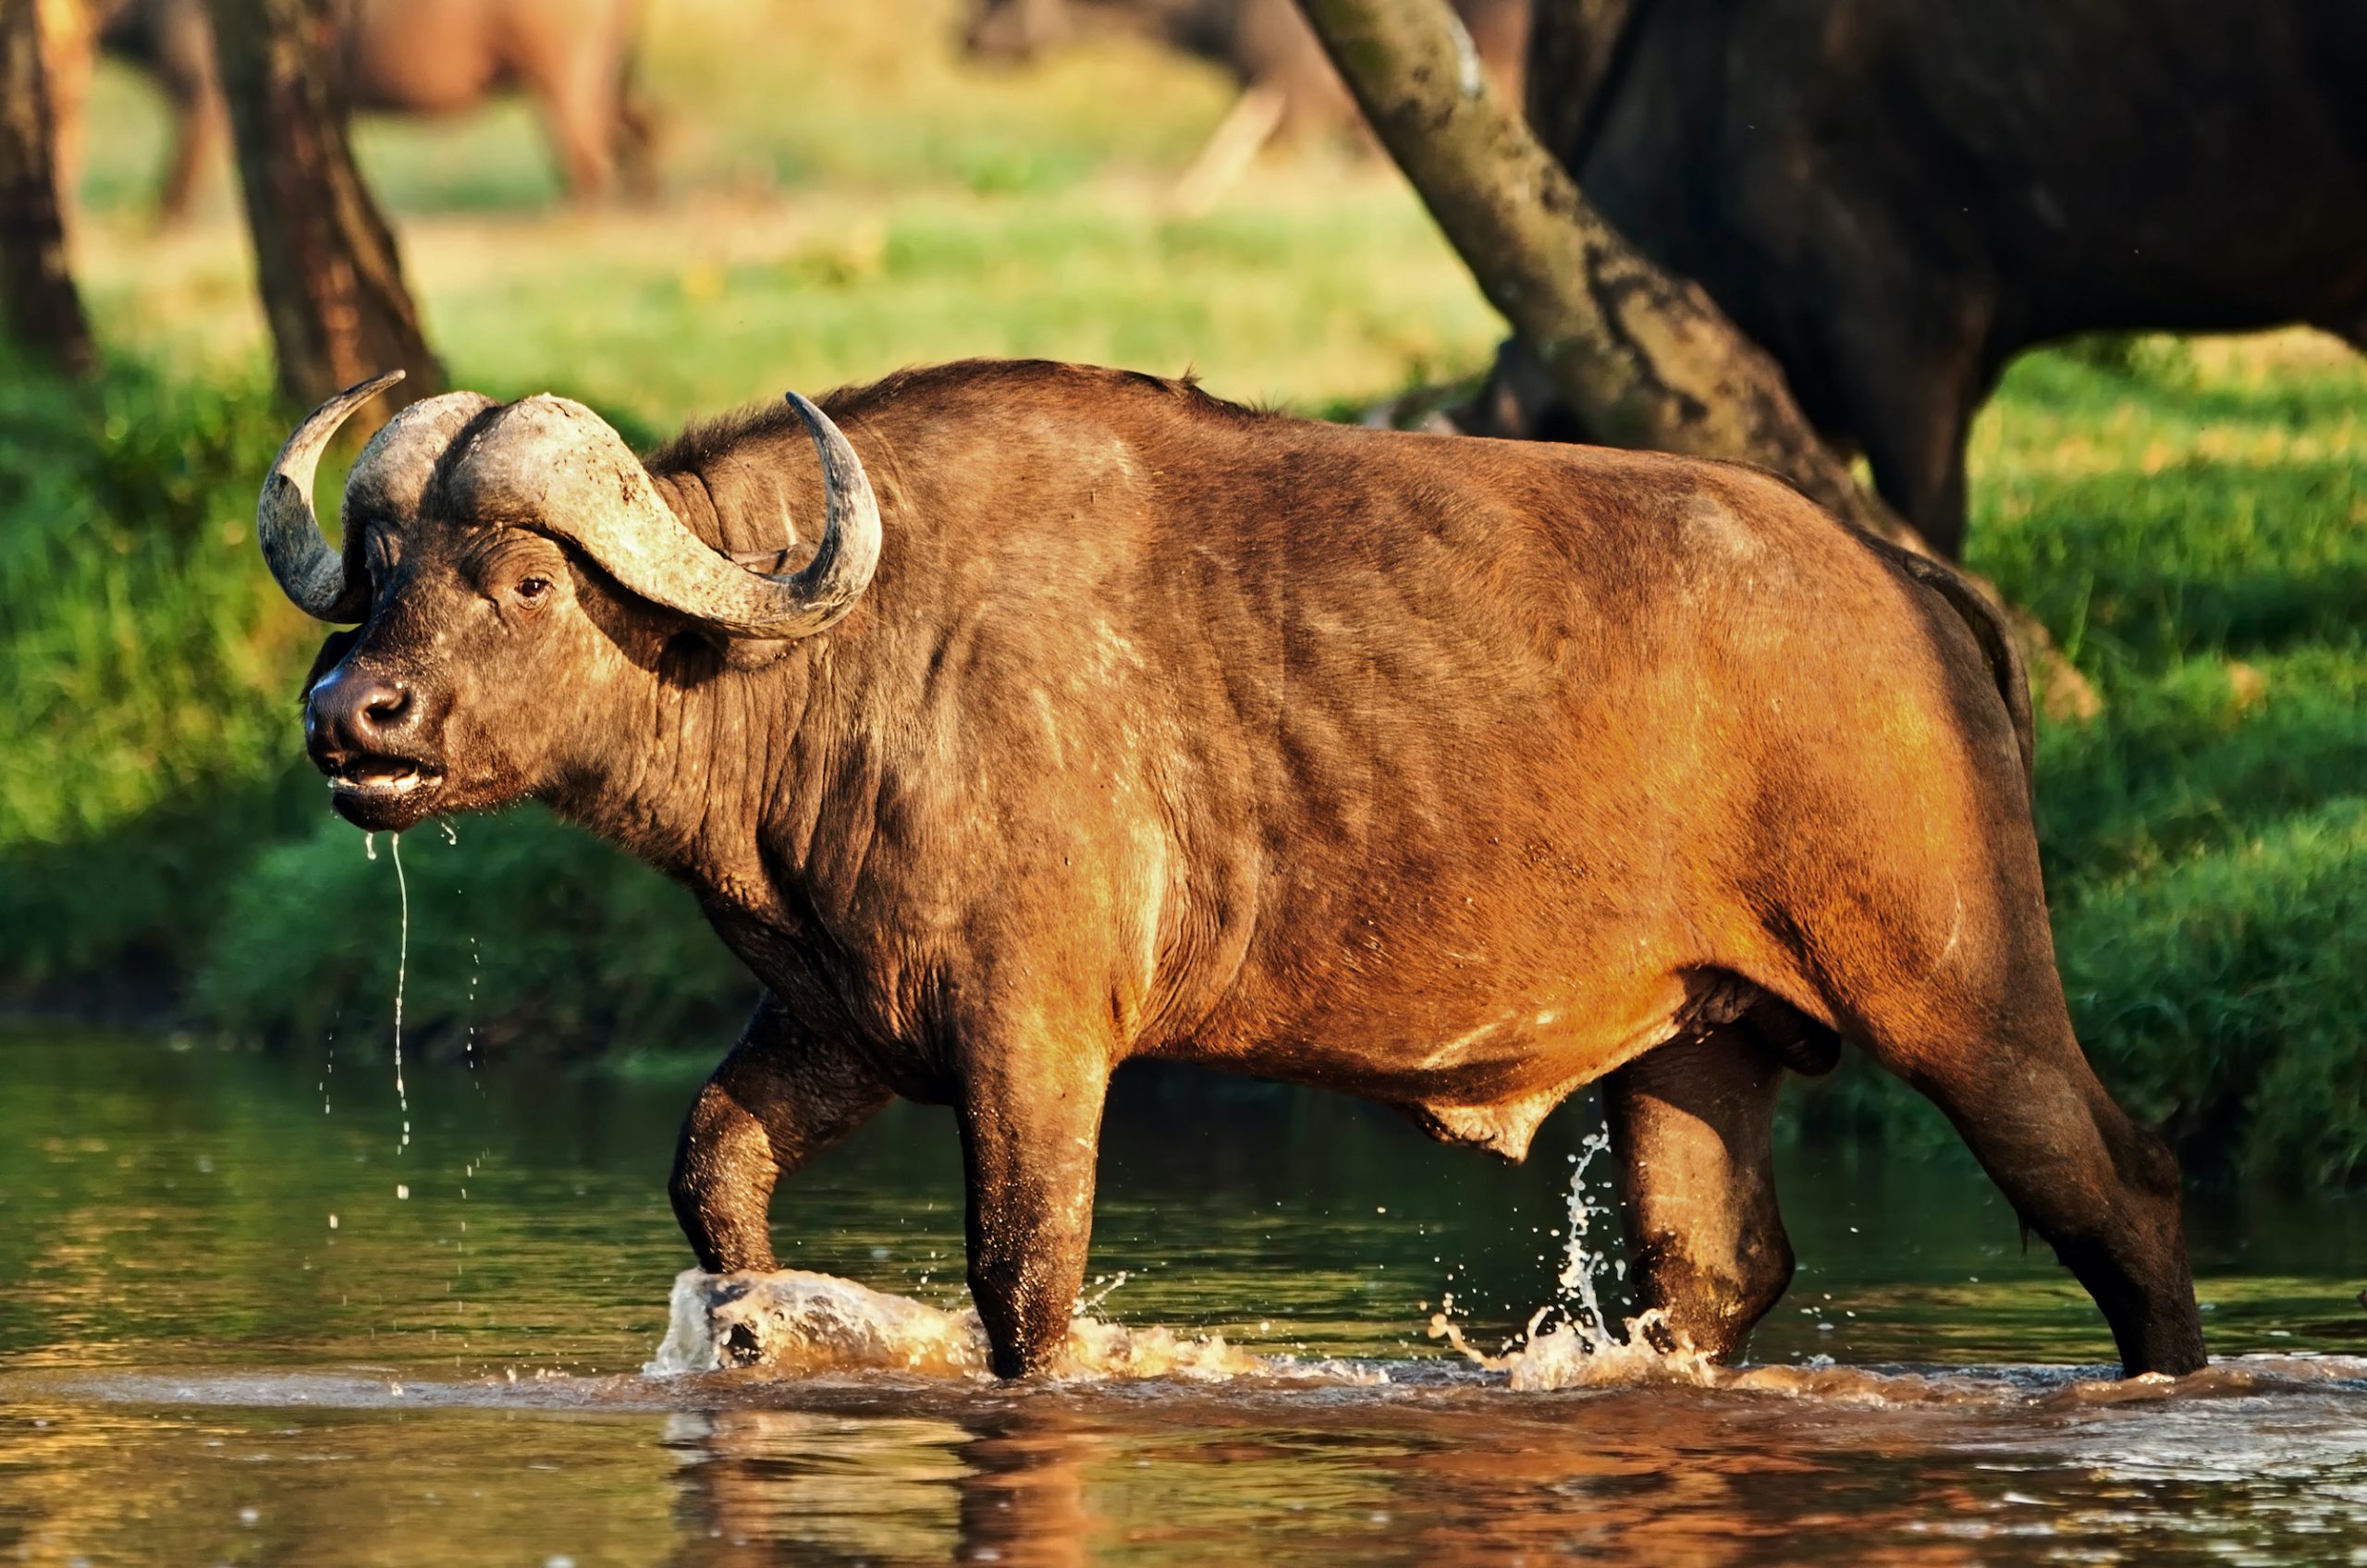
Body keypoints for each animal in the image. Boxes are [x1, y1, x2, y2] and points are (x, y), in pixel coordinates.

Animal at [88, 0, 655, 221]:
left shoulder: (202, 95)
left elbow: (179, 171)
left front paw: (160, 223)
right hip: (603, 75)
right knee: (641, 131)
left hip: (561, 78)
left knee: (587, 155)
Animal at [258, 362, 2205, 1378]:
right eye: (379, 573)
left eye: (523, 582)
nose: (354, 717)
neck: (833, 658)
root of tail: (1911, 585)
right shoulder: (844, 1026)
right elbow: (709, 1170)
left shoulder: (1035, 1040)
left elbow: (1024, 1276)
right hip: (1694, 1048)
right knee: (1712, 1269)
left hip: (1958, 989)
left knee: (2122, 1190)